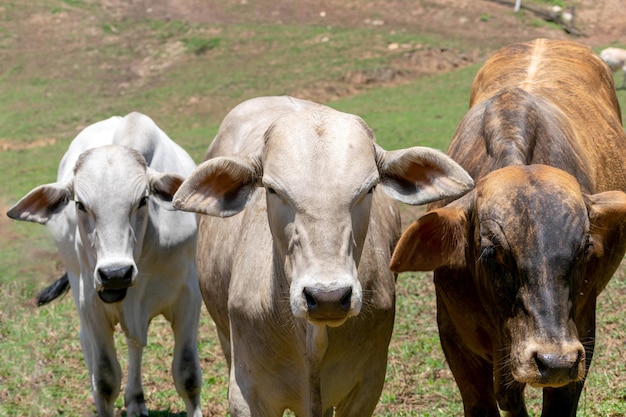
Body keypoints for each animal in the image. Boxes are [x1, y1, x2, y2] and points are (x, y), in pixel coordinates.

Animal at [7, 112, 202, 416]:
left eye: (143, 200)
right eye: (79, 204)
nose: (115, 273)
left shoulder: (188, 296)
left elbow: (187, 374)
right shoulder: (92, 304)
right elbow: (106, 379)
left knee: (135, 343)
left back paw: (136, 400)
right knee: (87, 344)